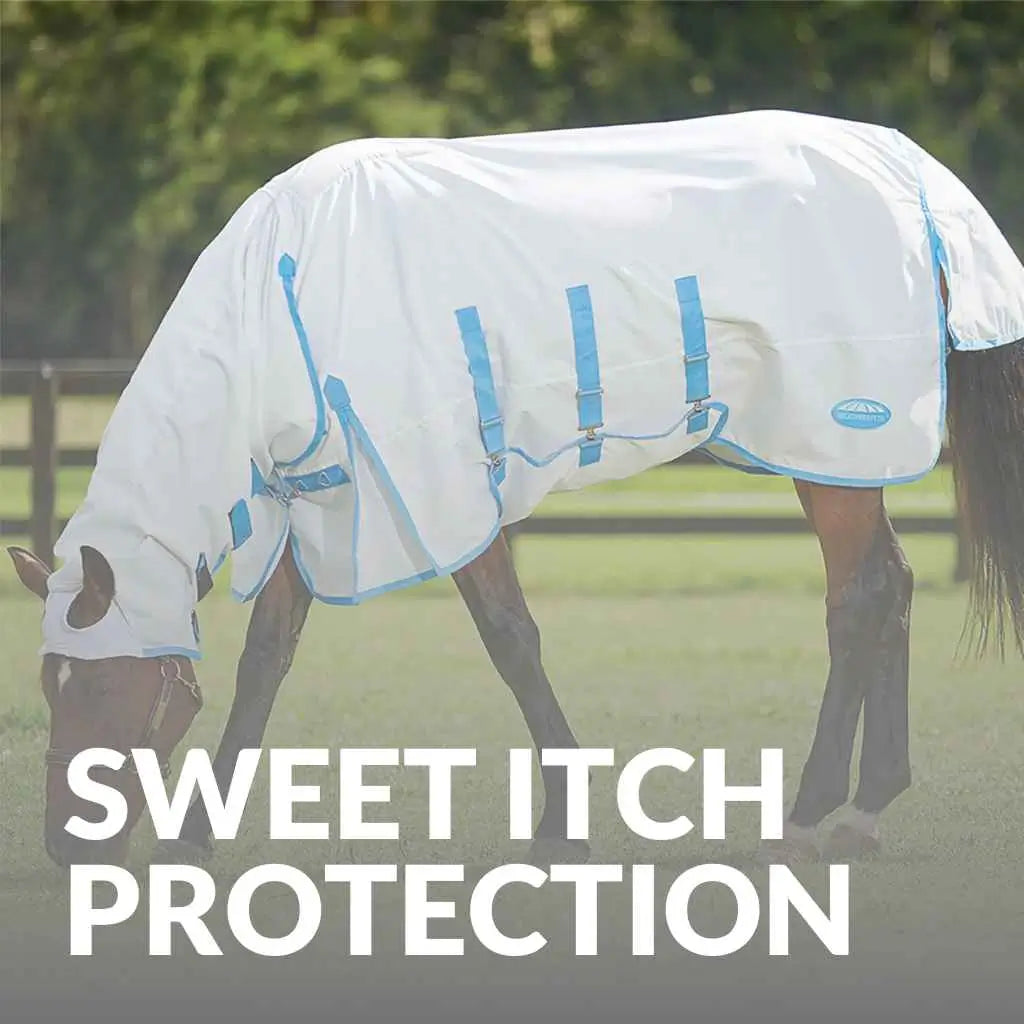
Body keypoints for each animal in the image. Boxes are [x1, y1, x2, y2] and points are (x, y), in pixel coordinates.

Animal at [8, 109, 1024, 870]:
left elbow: (510, 641)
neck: (285, 298)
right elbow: (266, 660)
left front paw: (561, 830)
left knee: (860, 596)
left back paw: (812, 814)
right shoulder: (324, 493)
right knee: (889, 586)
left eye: (100, 686)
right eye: (51, 685)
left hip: (832, 439)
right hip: (831, 455)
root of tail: (908, 170)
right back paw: (865, 807)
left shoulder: (439, 489)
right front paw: (195, 836)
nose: (66, 849)